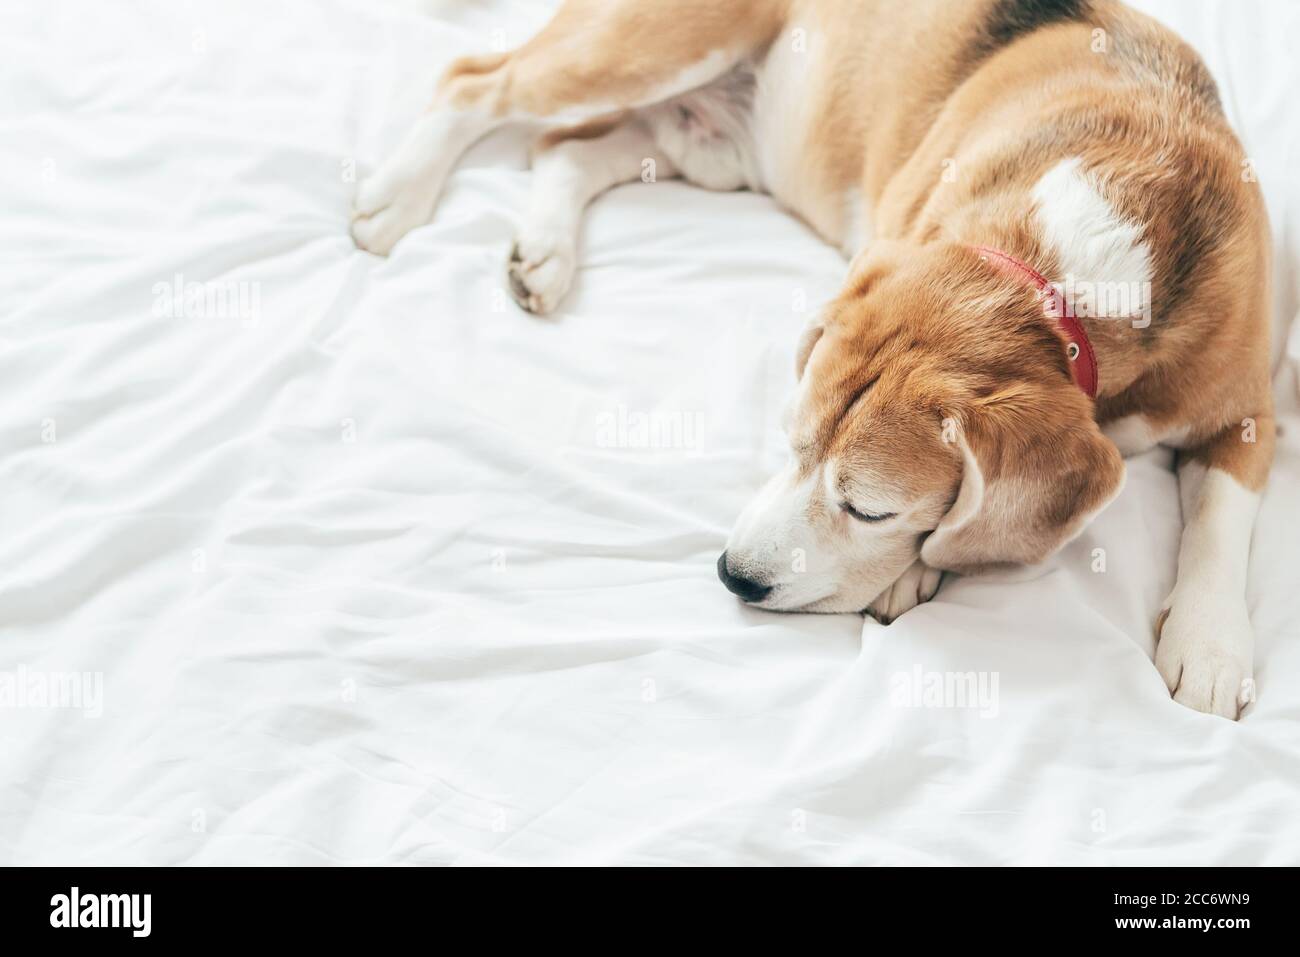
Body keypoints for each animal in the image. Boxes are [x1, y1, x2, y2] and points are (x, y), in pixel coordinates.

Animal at [351, 0, 1274, 717]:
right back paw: (395, 197)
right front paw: (914, 577)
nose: (732, 577)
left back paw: (542, 252)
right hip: (643, 49)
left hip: (704, 150)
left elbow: (1223, 519)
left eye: (868, 508)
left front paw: (1210, 647)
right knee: (475, 82)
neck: (1061, 277)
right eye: (789, 443)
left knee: (570, 150)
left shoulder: (1257, 405)